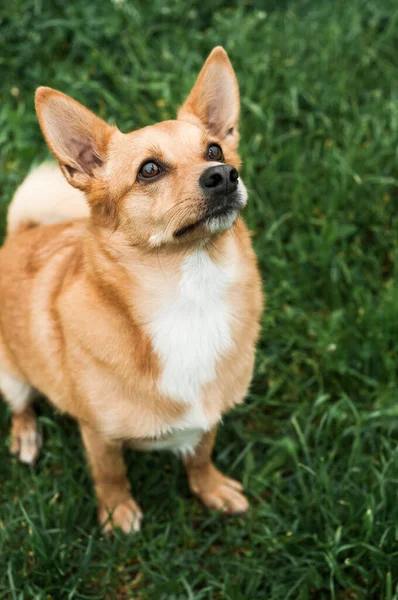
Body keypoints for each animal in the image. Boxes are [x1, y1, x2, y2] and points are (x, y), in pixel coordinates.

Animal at [0, 48, 262, 536]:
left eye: (214, 149)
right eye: (149, 170)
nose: (224, 174)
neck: (190, 295)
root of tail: (20, 236)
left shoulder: (208, 418)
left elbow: (200, 456)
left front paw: (211, 489)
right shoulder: (98, 434)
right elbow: (111, 474)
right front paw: (117, 513)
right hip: (10, 373)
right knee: (21, 404)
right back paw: (26, 435)